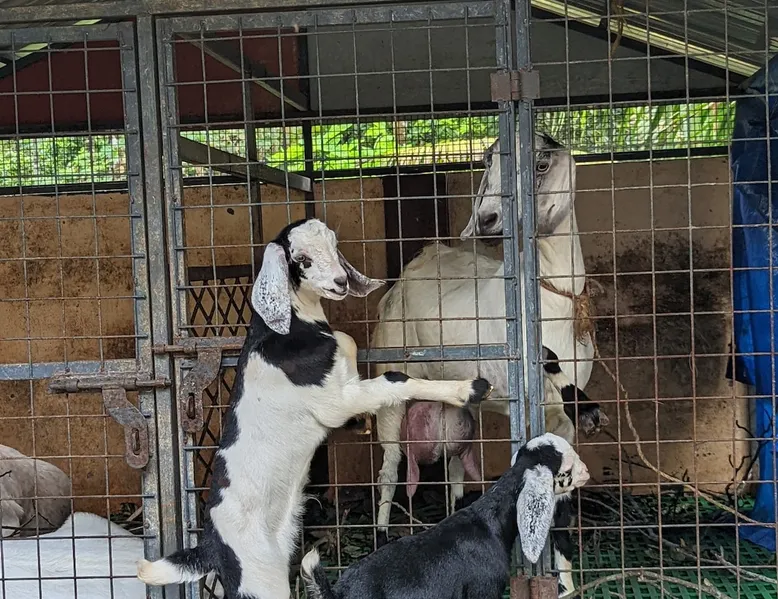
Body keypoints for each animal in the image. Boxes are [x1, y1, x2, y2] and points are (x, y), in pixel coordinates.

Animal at [136, 218, 494, 599]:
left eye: (334, 246)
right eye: (302, 259)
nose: (339, 282)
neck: (290, 329)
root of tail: (211, 547)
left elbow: (353, 349)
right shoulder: (336, 400)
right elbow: (395, 379)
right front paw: (470, 388)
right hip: (260, 578)